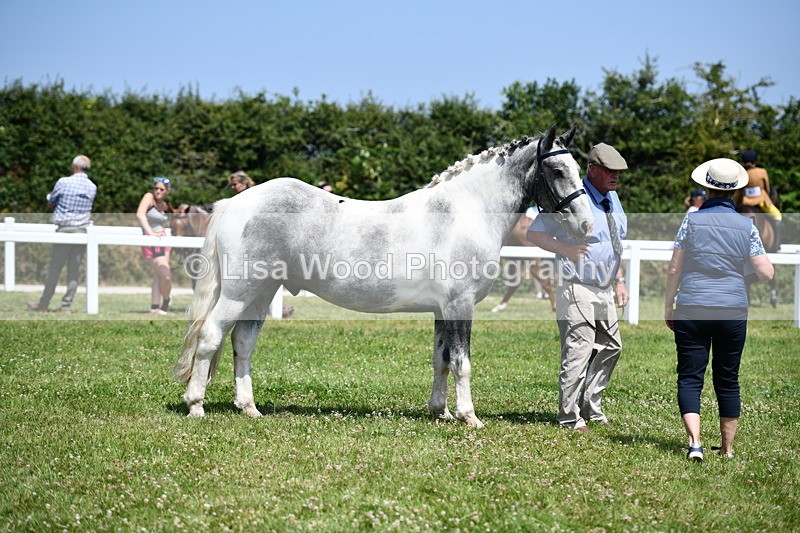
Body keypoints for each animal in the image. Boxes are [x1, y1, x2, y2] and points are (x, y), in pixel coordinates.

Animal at [174, 124, 593, 428]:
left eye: (579, 170)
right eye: (557, 170)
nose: (587, 226)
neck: (463, 212)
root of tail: (235, 202)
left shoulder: (441, 310)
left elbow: (441, 360)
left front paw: (440, 411)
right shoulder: (460, 306)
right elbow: (462, 361)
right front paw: (469, 417)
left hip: (261, 293)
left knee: (243, 343)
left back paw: (249, 408)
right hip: (239, 293)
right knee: (210, 336)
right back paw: (196, 405)